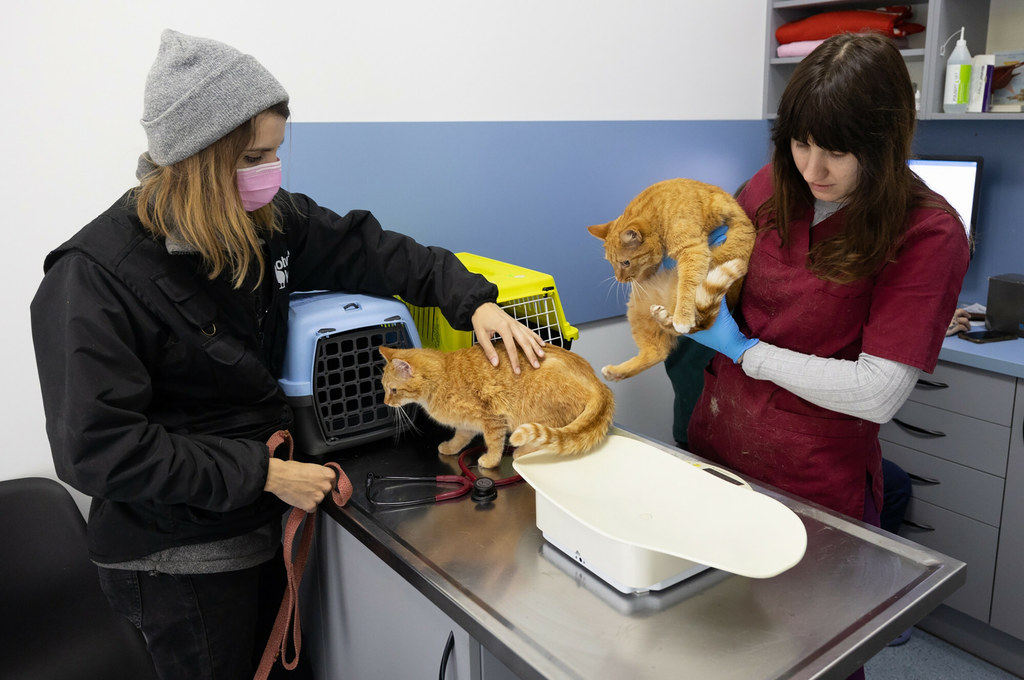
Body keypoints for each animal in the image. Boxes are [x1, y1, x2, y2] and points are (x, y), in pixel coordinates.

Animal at [378, 346, 610, 466]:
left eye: (394, 390)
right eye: (383, 387)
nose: (385, 402)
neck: (443, 376)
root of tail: (598, 383)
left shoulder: (492, 417)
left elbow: (494, 441)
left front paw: (490, 460)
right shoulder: (466, 423)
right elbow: (460, 437)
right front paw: (451, 448)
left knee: (551, 433)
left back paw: (521, 450)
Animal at [589, 178, 757, 383]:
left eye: (625, 262)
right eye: (611, 263)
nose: (619, 279)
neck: (658, 211)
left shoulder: (692, 250)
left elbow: (687, 284)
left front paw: (682, 318)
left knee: (691, 324)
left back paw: (670, 318)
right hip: (637, 312)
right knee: (657, 352)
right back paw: (615, 371)